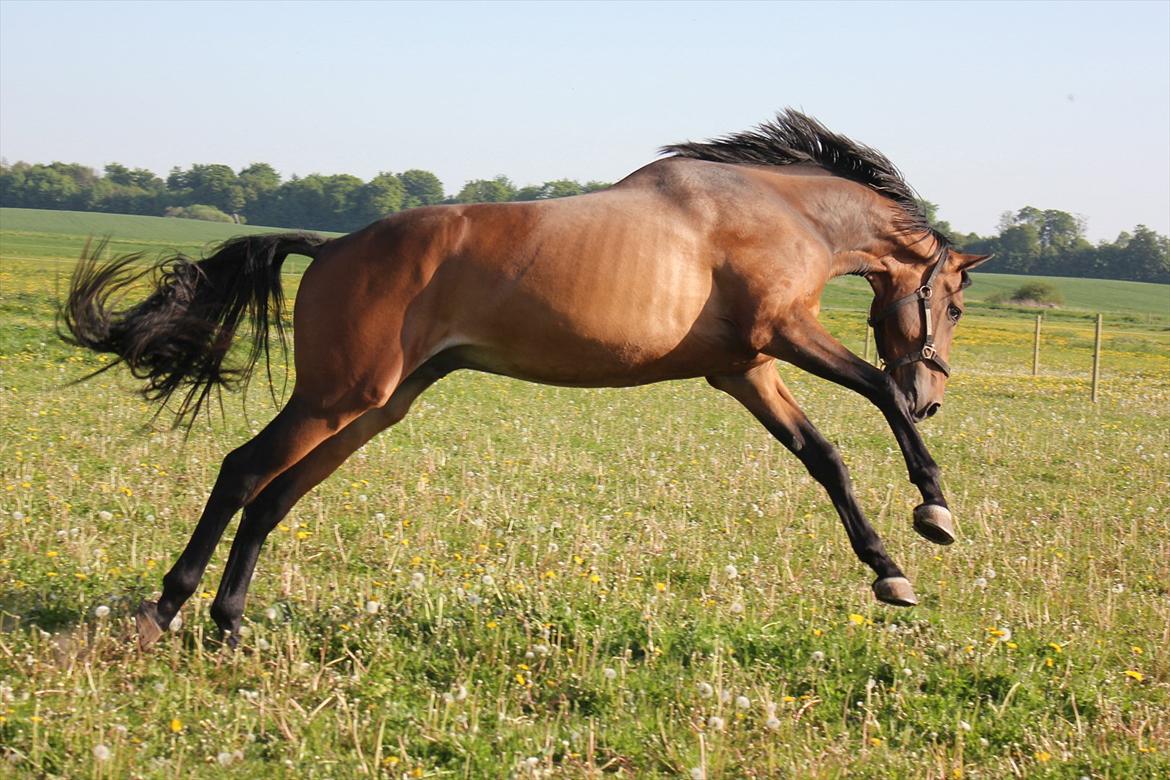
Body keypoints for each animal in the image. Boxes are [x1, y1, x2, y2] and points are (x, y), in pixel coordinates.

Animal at [61, 108, 987, 645]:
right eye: (953, 304)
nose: (936, 398)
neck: (779, 210)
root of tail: (328, 249)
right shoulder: (784, 335)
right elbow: (874, 393)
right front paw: (933, 509)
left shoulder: (746, 371)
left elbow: (824, 458)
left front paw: (889, 570)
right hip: (336, 397)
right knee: (242, 471)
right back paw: (165, 610)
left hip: (376, 408)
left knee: (274, 497)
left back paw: (229, 625)